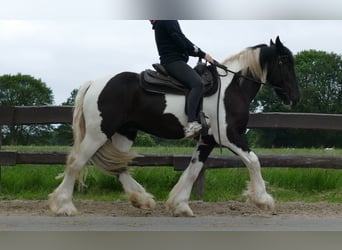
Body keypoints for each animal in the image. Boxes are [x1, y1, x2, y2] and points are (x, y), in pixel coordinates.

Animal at [48, 37, 300, 217]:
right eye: (284, 62)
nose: (295, 97)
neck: (231, 87)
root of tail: (94, 83)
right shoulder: (229, 135)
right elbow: (254, 161)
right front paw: (263, 200)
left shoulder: (208, 140)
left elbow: (194, 170)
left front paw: (180, 205)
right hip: (98, 133)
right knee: (76, 162)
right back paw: (64, 206)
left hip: (125, 132)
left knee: (118, 166)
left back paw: (141, 199)